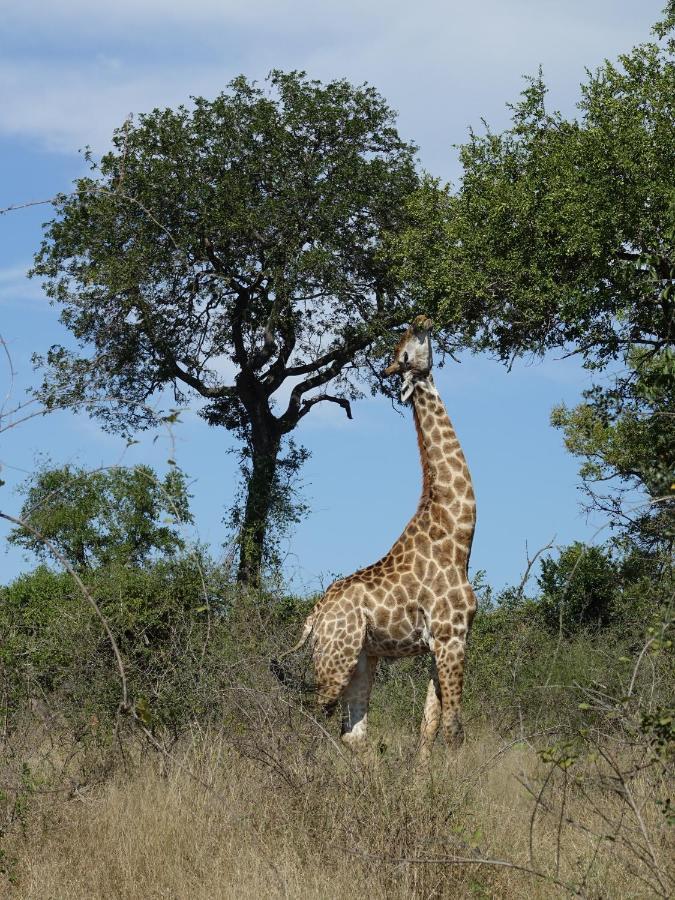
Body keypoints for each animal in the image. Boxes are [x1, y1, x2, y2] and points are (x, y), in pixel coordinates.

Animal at [272, 316, 478, 760]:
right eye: (408, 350)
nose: (425, 318)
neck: (459, 537)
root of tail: (314, 617)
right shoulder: (452, 635)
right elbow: (454, 729)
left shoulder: (436, 645)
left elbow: (428, 726)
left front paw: (421, 780)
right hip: (335, 659)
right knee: (310, 718)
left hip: (363, 659)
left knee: (354, 733)